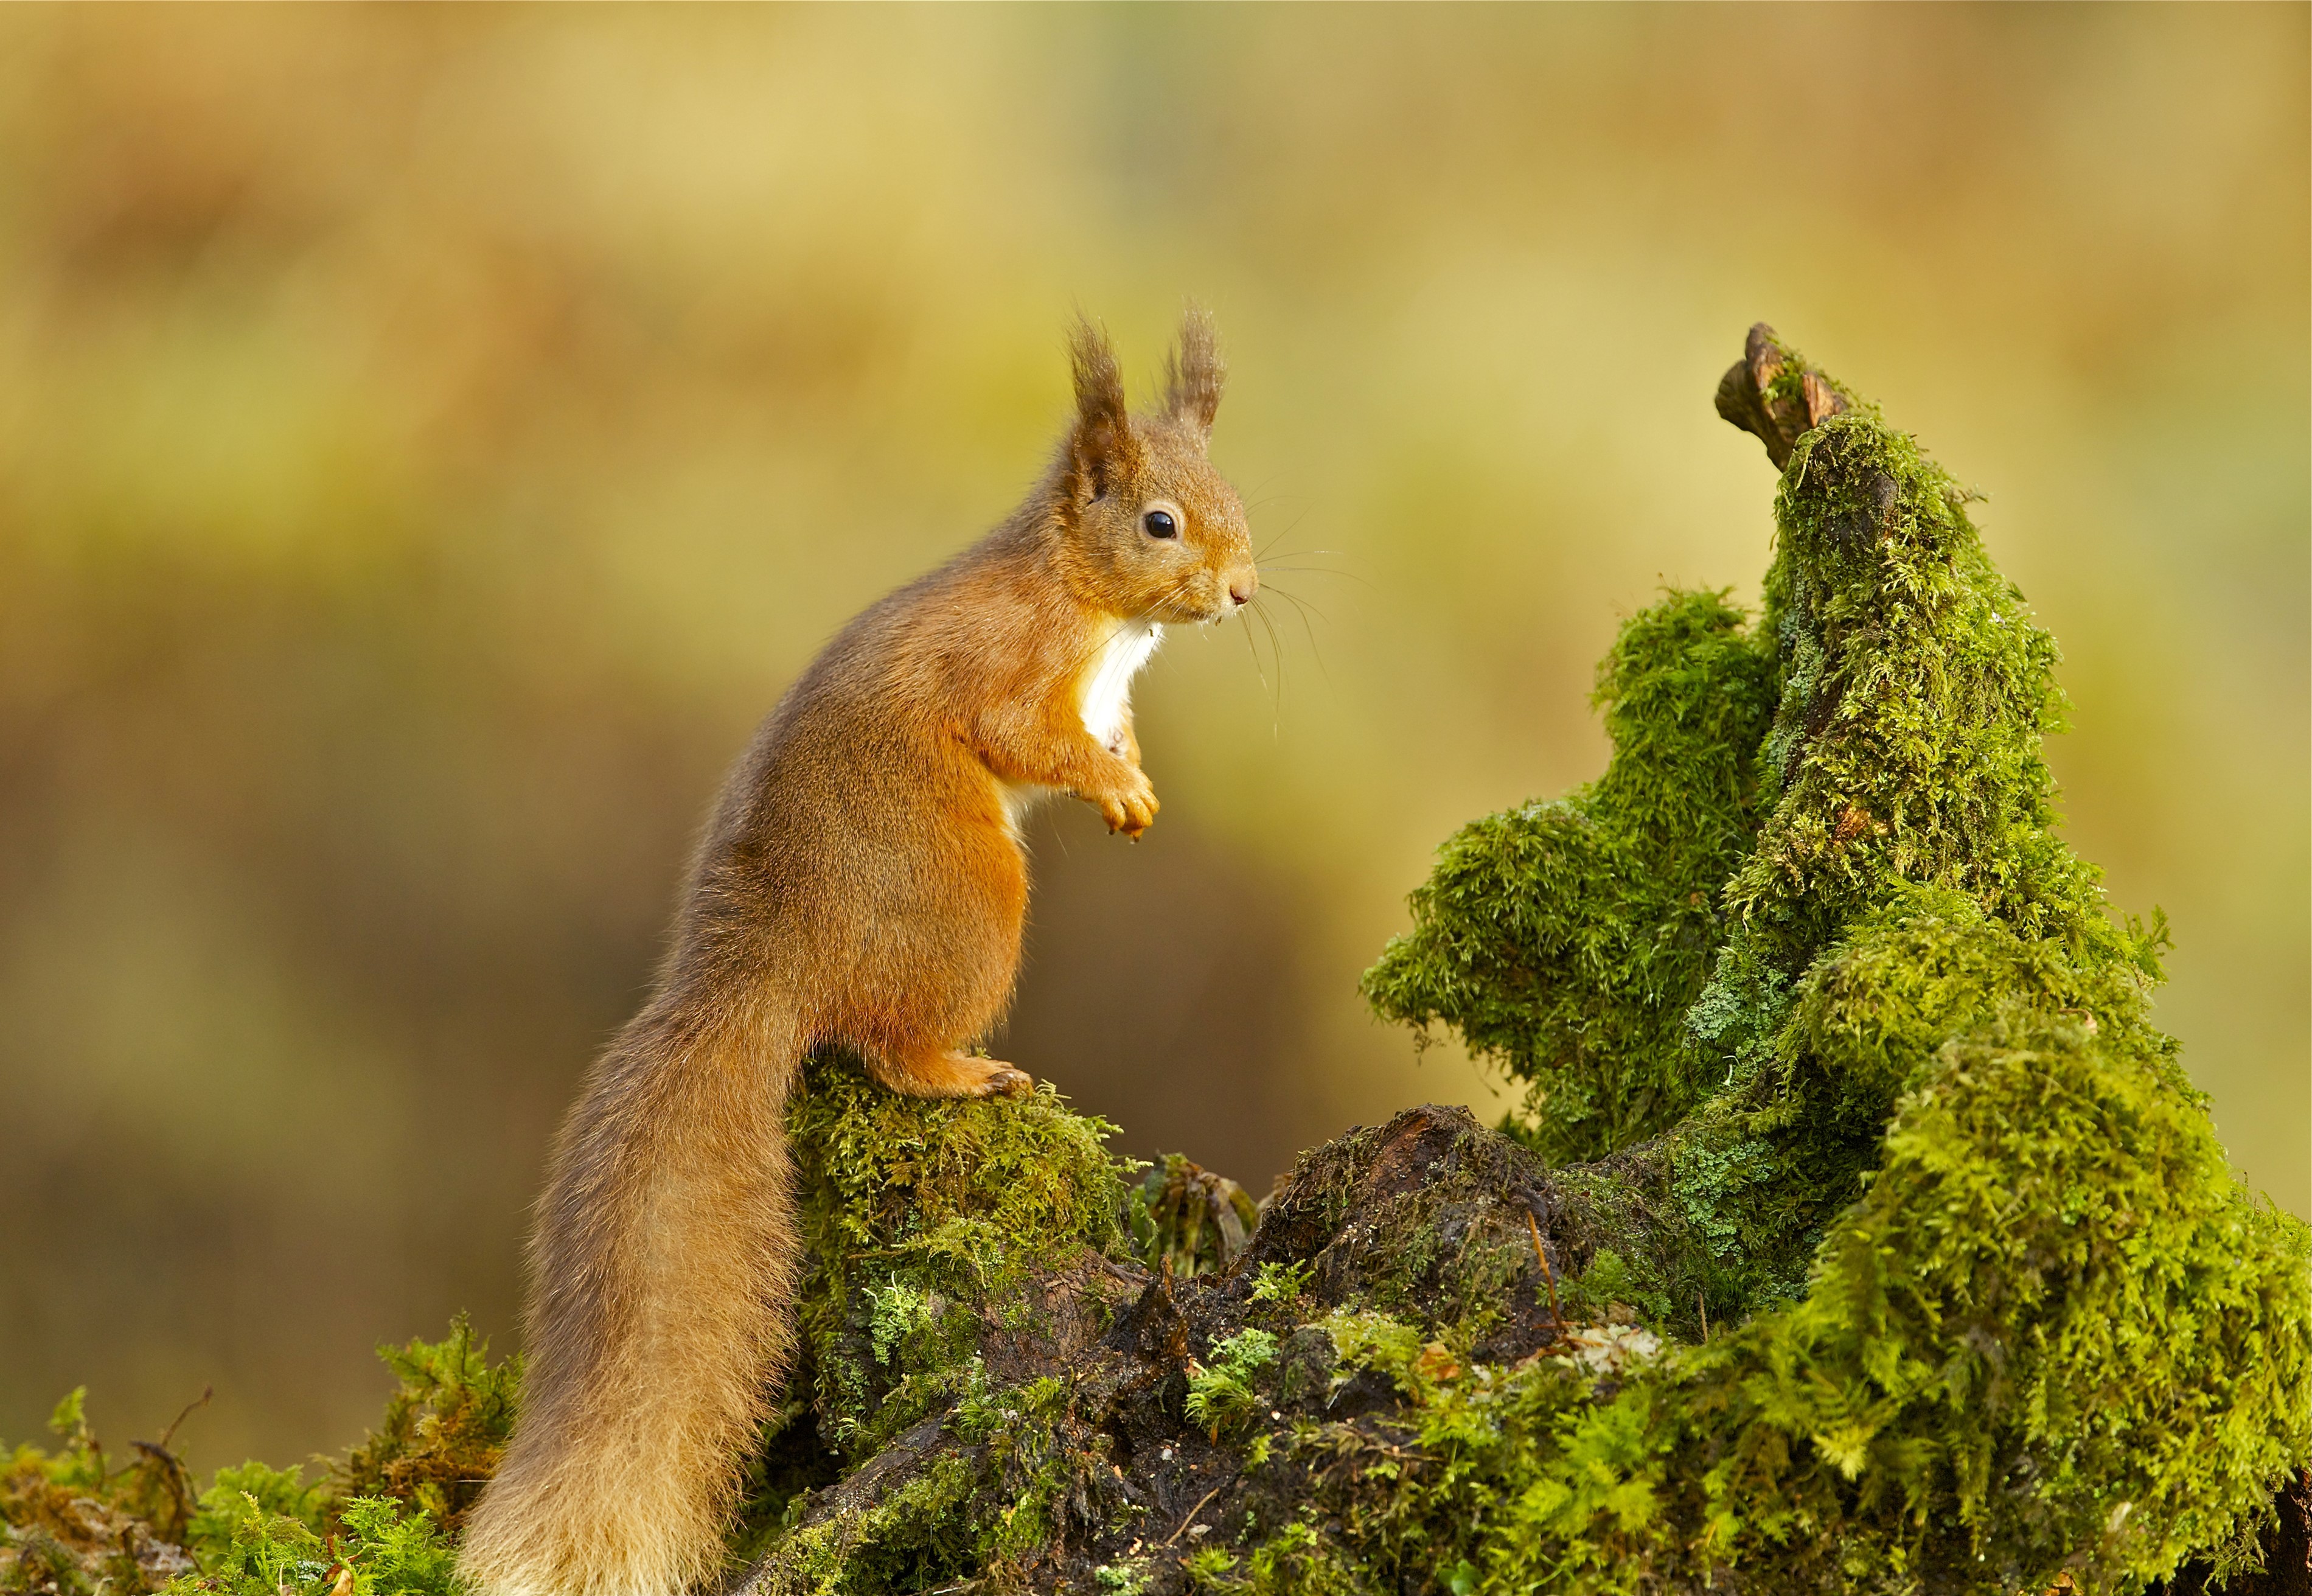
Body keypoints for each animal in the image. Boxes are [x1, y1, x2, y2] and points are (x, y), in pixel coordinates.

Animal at [457, 309, 1257, 1596]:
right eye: (1158, 522)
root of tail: (764, 970)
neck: (1090, 605)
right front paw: (1107, 779)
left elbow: (1115, 733)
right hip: (971, 903)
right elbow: (1030, 736)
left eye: (1234, 494)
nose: (1240, 589)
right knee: (885, 1044)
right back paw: (964, 1070)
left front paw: (1133, 781)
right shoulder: (1013, 667)